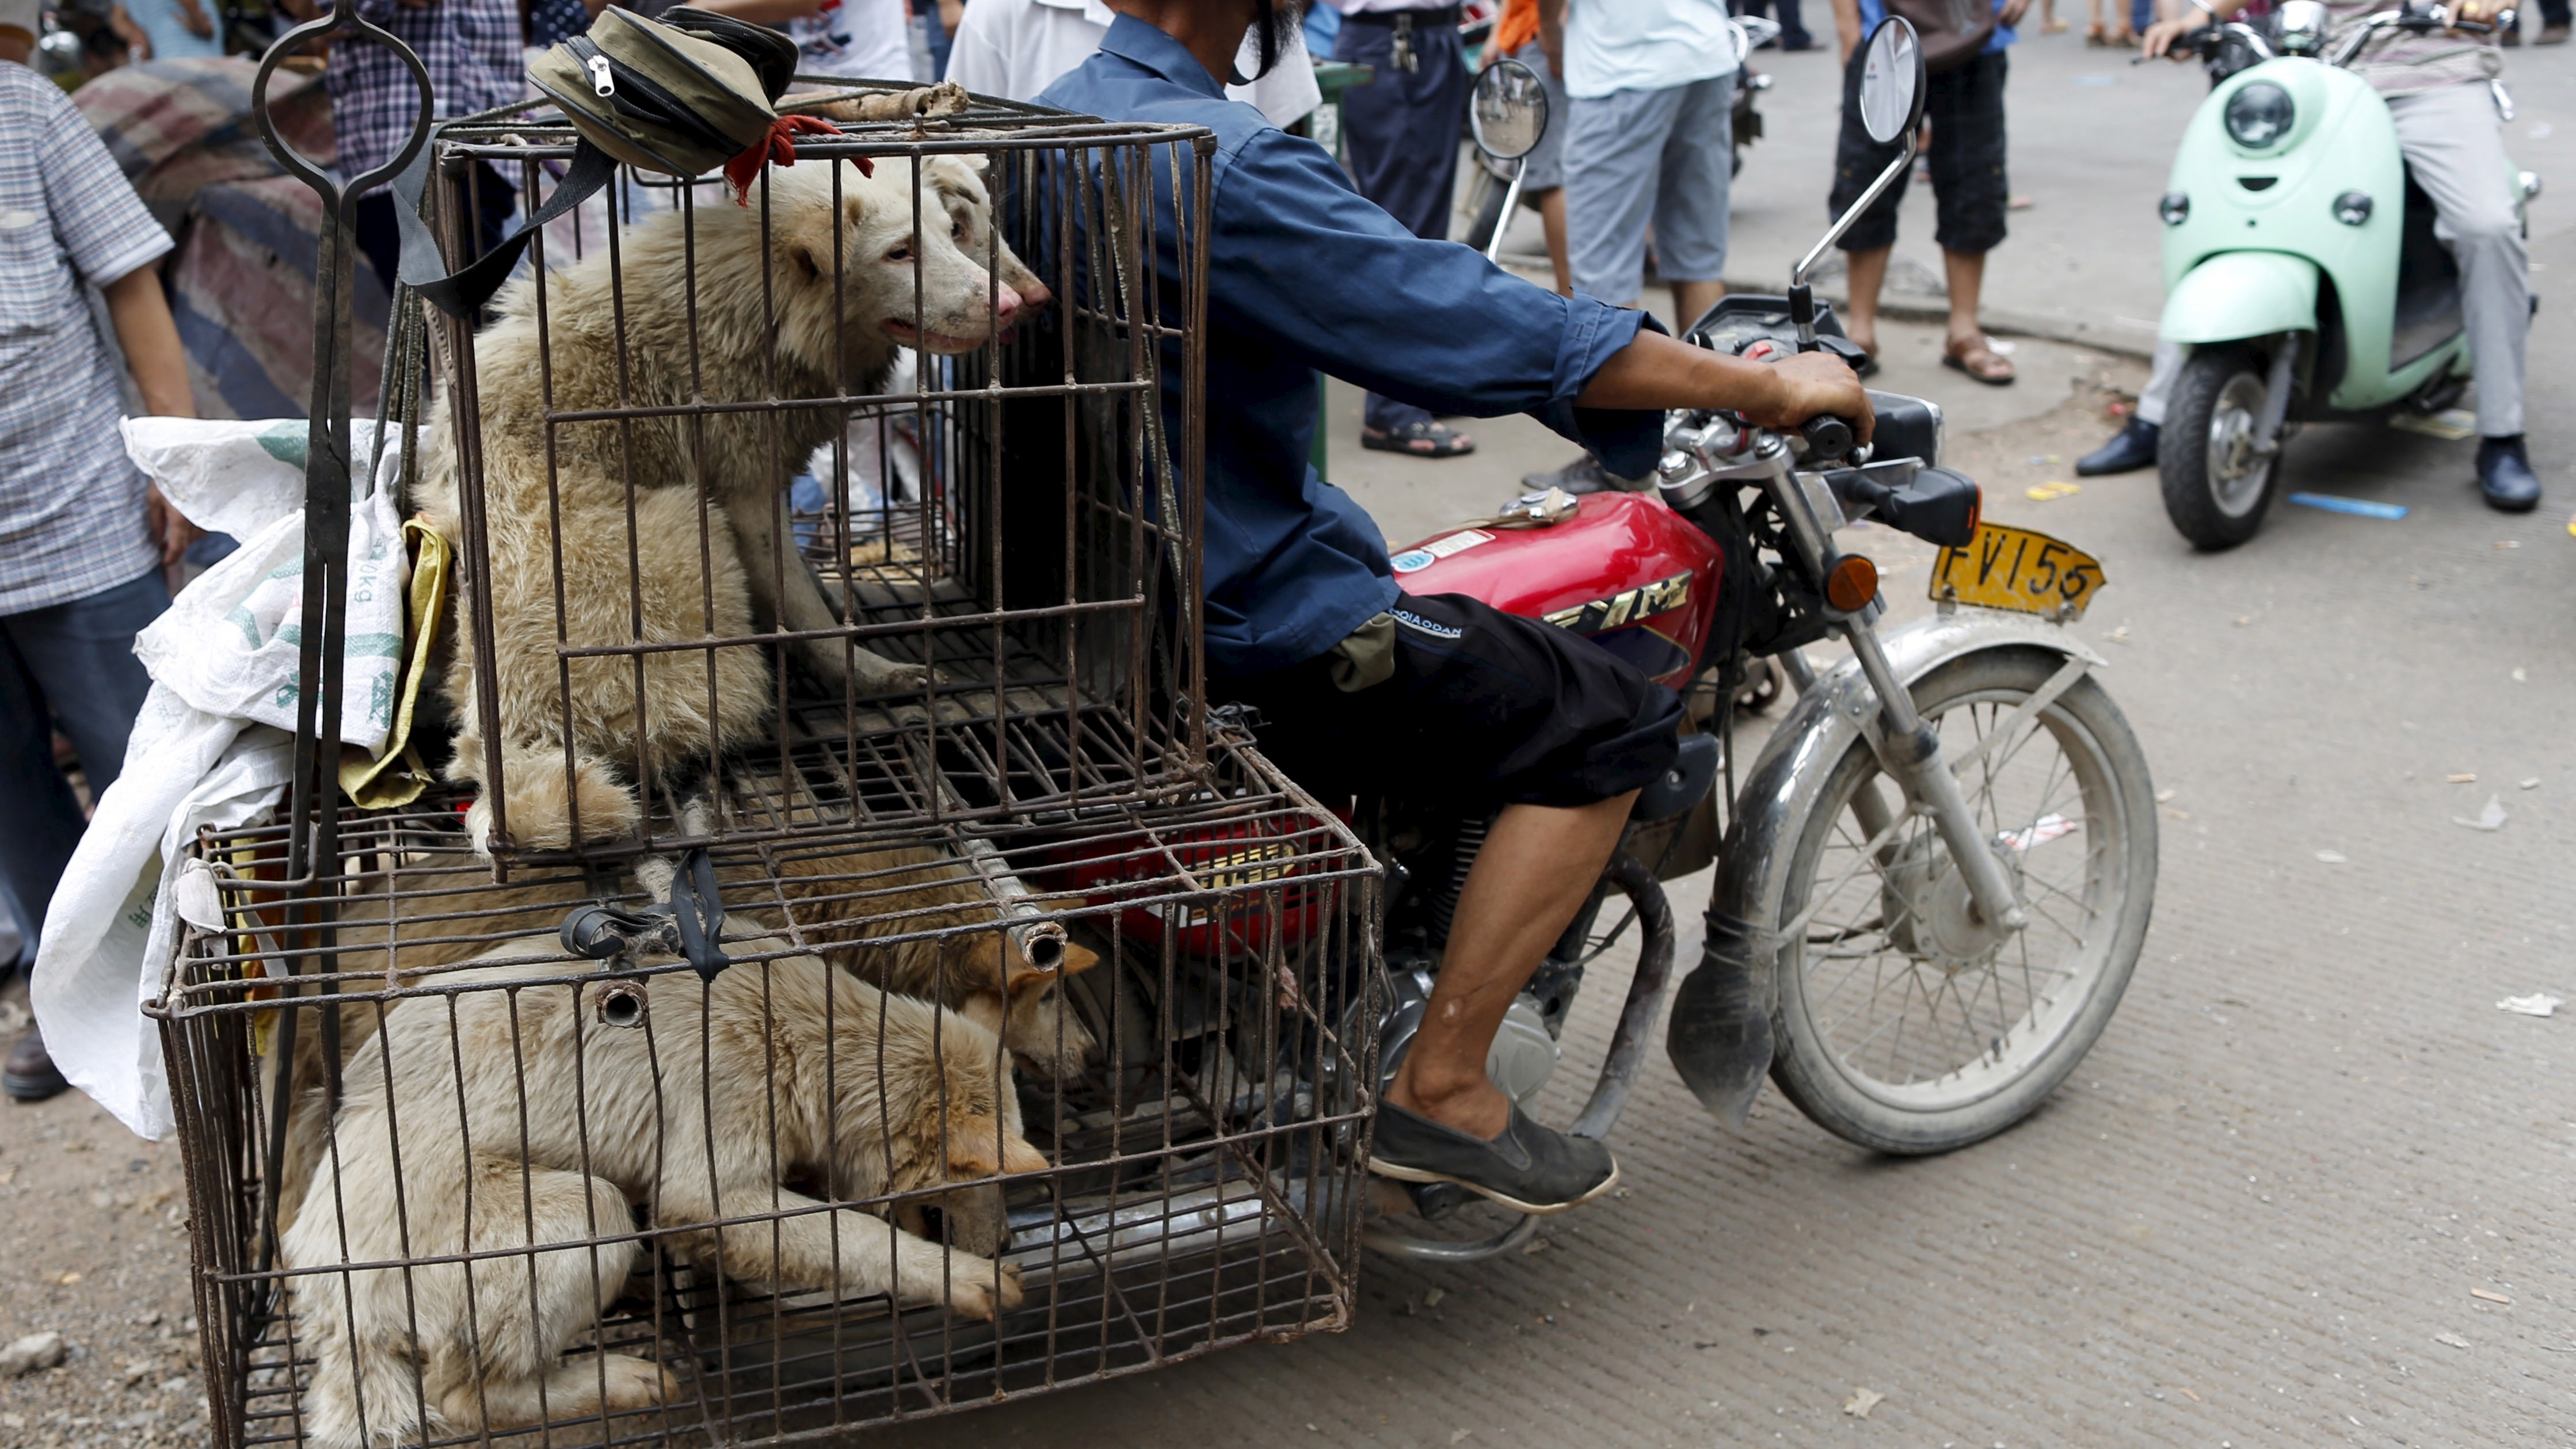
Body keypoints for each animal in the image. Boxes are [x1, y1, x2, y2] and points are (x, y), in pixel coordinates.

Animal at [277, 941, 1041, 1449]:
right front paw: (960, 1276)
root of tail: (332, 1306)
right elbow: (861, 1236)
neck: (811, 1038)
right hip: (590, 1213)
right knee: (462, 1397)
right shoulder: (709, 1193)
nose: (1007, 1241)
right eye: (984, 1180)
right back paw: (621, 1380)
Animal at [417, 155, 1041, 859]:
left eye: (950, 231)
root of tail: (508, 748)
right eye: (900, 252)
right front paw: (866, 674)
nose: (1017, 304)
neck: (759, 303)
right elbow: (810, 618)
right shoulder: (746, 496)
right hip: (691, 531)